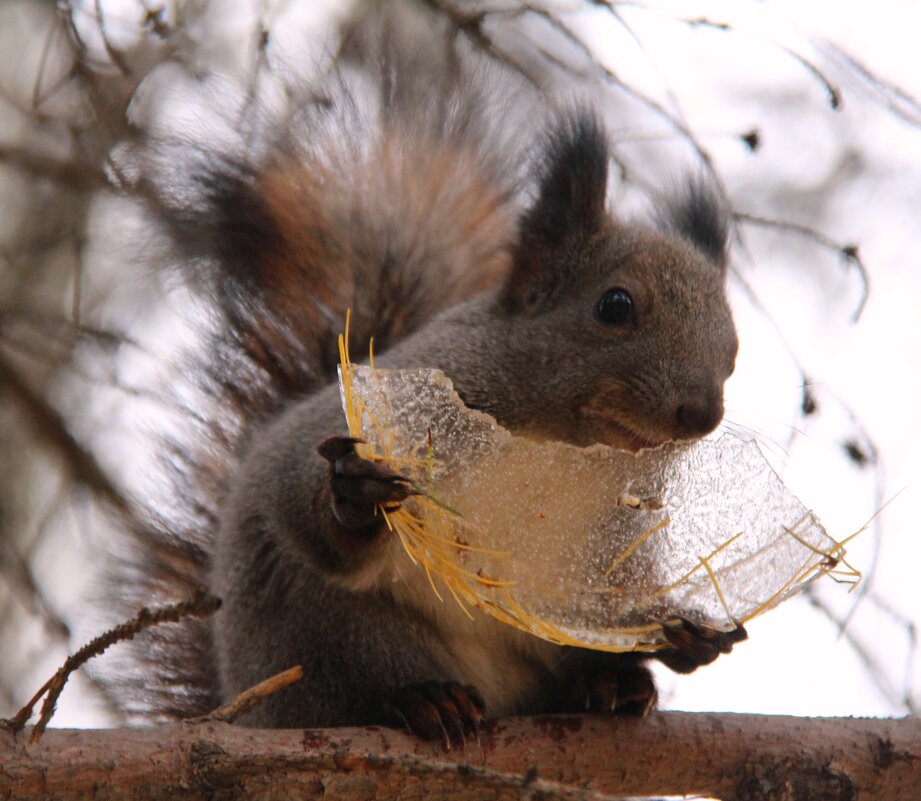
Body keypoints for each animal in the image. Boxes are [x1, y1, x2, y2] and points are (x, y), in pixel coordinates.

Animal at [111, 0, 752, 740]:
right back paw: (422, 697)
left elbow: (624, 603)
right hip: (322, 632)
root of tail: (245, 702)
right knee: (351, 672)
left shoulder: (615, 549)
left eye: (734, 350)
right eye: (614, 306)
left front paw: (686, 630)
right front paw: (354, 492)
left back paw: (608, 684)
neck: (562, 448)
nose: (700, 413)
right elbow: (296, 489)